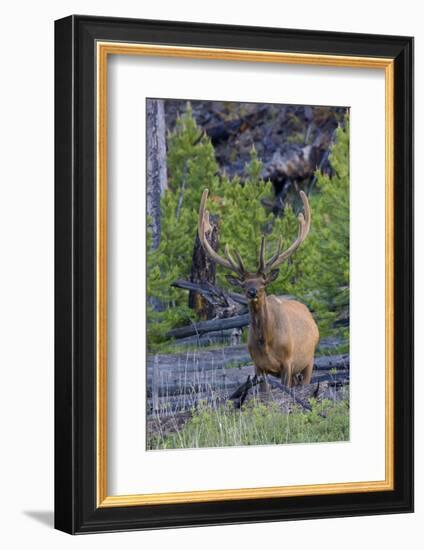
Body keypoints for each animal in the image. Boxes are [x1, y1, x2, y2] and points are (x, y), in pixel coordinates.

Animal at [199, 188, 318, 390]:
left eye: (263, 283)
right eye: (244, 284)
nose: (252, 292)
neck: (266, 342)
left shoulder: (288, 362)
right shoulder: (258, 366)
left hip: (308, 361)